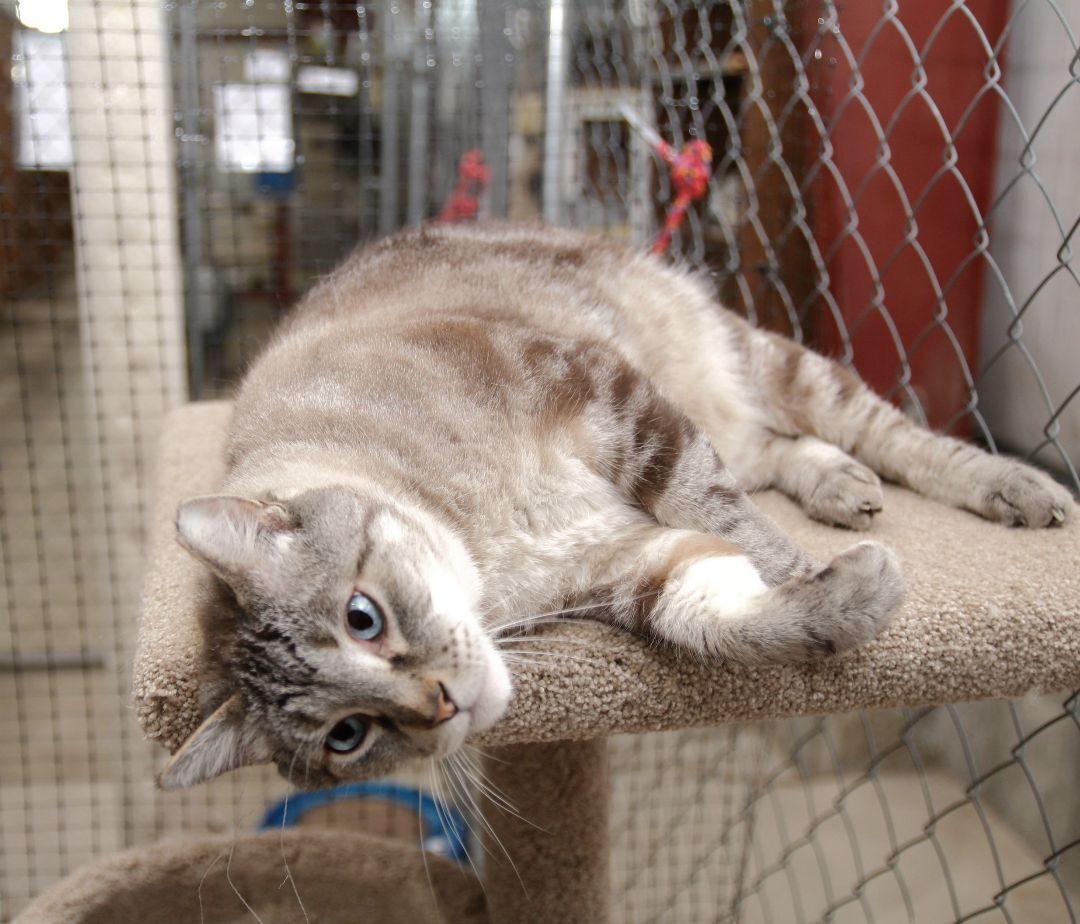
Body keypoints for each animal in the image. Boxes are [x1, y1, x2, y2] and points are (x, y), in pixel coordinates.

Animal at [157, 222, 1071, 785]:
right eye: (348, 736)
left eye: (363, 617)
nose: (440, 704)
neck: (491, 557)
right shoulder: (621, 563)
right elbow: (717, 612)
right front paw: (842, 598)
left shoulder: (609, 399)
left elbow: (723, 515)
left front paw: (816, 577)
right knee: (771, 449)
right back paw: (843, 489)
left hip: (757, 359)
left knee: (875, 429)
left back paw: (1017, 489)